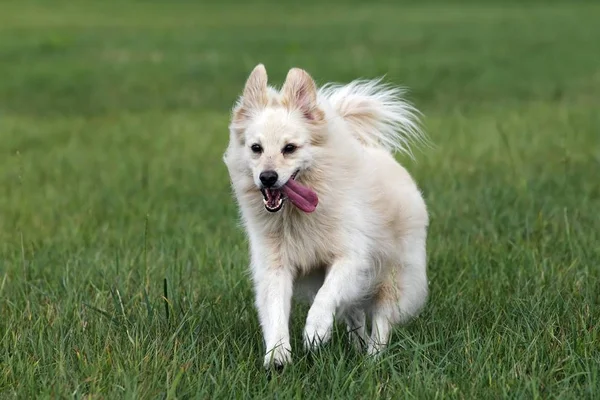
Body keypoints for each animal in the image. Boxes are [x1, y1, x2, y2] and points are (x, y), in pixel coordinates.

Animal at [223, 65, 428, 368]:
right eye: (255, 148)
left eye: (289, 148)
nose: (267, 177)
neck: (295, 215)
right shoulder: (274, 264)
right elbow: (275, 309)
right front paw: (278, 355)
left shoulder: (350, 258)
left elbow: (327, 295)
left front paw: (315, 332)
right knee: (354, 314)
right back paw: (358, 347)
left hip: (392, 274)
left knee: (382, 317)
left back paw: (373, 357)